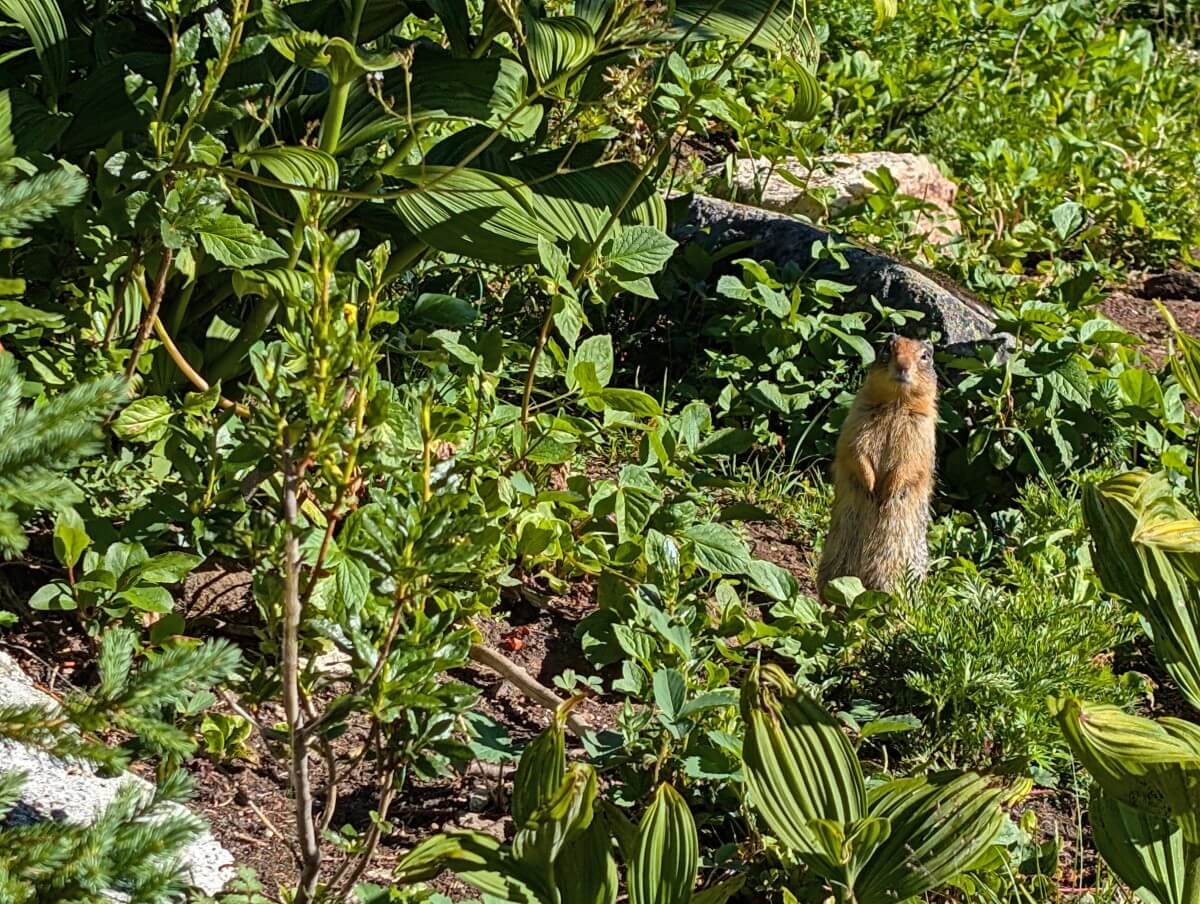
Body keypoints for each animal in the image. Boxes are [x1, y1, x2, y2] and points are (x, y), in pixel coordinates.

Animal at [817, 334, 938, 598]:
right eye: (887, 348)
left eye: (925, 356)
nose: (902, 366)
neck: (895, 405)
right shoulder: (857, 421)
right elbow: (855, 450)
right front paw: (871, 486)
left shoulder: (921, 433)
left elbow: (910, 463)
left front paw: (887, 492)